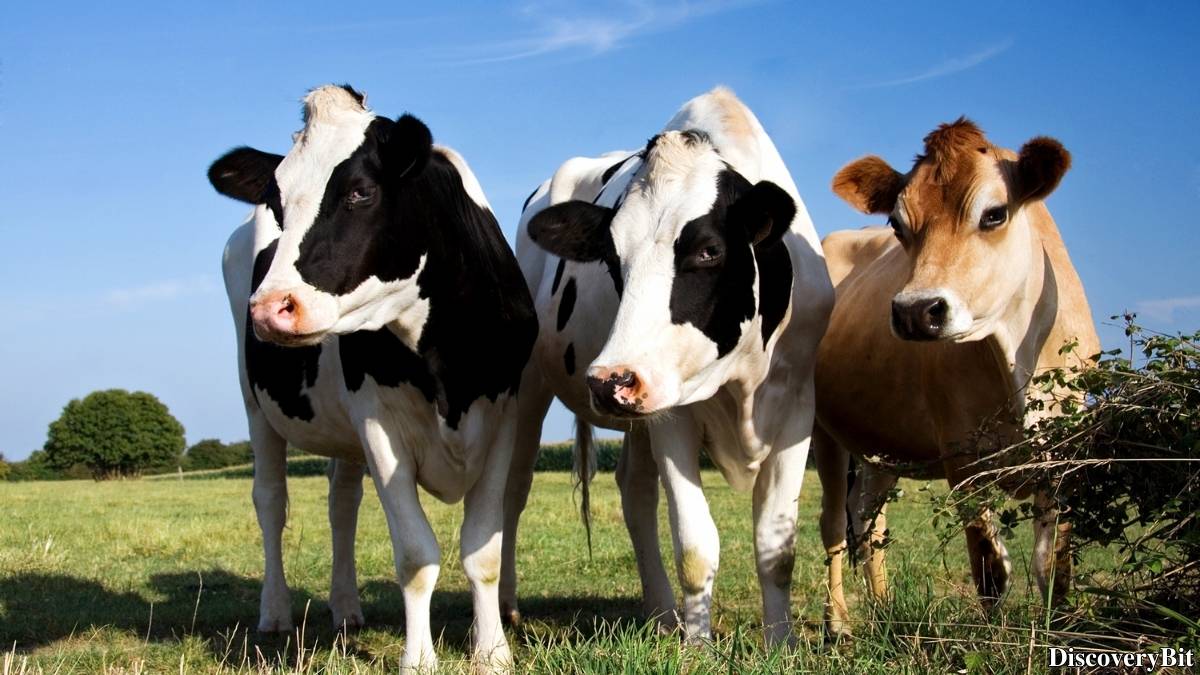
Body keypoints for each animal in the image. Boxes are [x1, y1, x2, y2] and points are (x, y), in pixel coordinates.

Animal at [207, 85, 537, 671]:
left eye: (360, 192)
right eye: (277, 202)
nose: (269, 309)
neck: (445, 361)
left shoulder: (502, 416)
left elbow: (483, 550)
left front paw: (493, 651)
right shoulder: (380, 425)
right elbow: (416, 555)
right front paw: (419, 660)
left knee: (342, 505)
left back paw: (345, 609)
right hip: (255, 402)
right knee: (270, 502)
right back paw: (275, 612)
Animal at [500, 87, 835, 646]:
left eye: (709, 250)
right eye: (611, 258)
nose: (609, 381)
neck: (740, 377)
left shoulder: (796, 406)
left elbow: (777, 547)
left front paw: (781, 644)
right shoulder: (673, 414)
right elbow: (696, 546)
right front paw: (698, 649)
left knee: (634, 494)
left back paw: (660, 614)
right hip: (529, 386)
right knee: (514, 488)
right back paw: (507, 606)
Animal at [813, 119, 1100, 636]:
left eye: (994, 214)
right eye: (897, 224)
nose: (914, 310)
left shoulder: (1067, 452)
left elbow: (1054, 564)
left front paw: (1061, 627)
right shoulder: (962, 457)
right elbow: (990, 567)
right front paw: (992, 639)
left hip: (880, 446)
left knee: (868, 521)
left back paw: (884, 610)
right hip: (822, 432)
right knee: (832, 528)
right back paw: (838, 622)